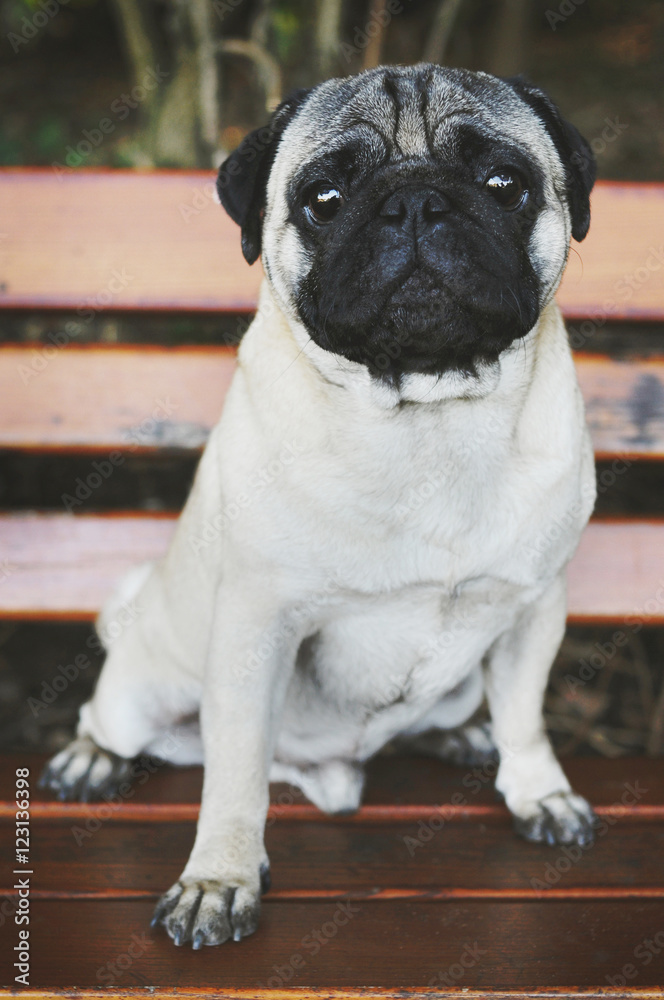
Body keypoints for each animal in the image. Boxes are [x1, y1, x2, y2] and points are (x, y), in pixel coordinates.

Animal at [44, 66, 600, 948]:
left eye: (504, 185)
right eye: (325, 198)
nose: (416, 203)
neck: (428, 414)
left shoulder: (533, 607)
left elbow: (527, 714)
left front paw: (538, 791)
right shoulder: (256, 628)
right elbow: (235, 772)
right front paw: (219, 879)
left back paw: (457, 733)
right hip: (145, 686)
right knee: (115, 718)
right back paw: (91, 758)